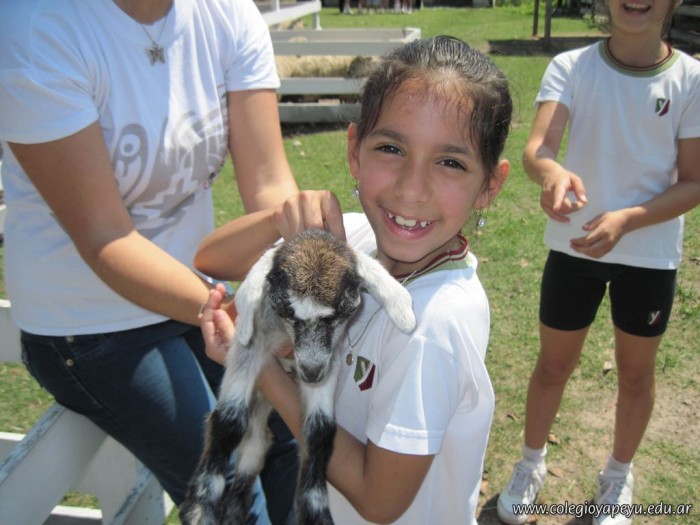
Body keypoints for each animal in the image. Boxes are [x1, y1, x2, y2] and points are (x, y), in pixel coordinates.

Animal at [180, 228, 416, 525]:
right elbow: (228, 420)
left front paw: (314, 510)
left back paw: (234, 511)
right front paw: (200, 507)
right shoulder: (251, 344)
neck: (284, 338)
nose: (311, 374)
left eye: (338, 316)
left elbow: (319, 431)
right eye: (287, 314)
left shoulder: (329, 359)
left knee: (256, 445)